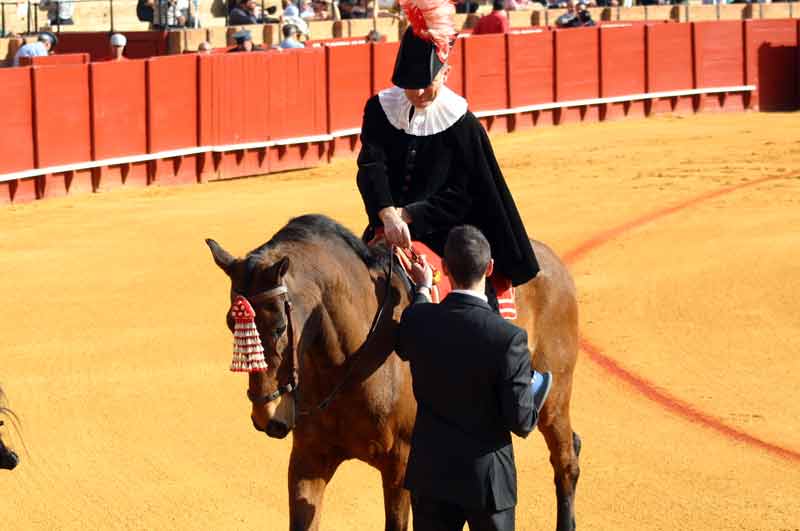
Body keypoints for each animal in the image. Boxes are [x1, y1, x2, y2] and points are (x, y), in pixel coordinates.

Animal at [206, 215, 580, 531]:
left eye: (281, 327)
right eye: (230, 324)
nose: (266, 416)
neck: (345, 365)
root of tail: (552, 262)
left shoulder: (400, 465)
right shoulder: (308, 459)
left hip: (553, 401)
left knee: (565, 460)